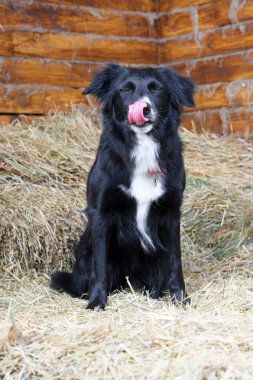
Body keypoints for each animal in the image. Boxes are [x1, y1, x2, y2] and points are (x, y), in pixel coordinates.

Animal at [50, 63, 195, 310]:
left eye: (156, 88)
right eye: (125, 90)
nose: (143, 108)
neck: (143, 147)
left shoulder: (171, 213)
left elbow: (176, 262)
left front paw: (180, 299)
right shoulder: (101, 213)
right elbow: (100, 265)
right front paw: (96, 302)